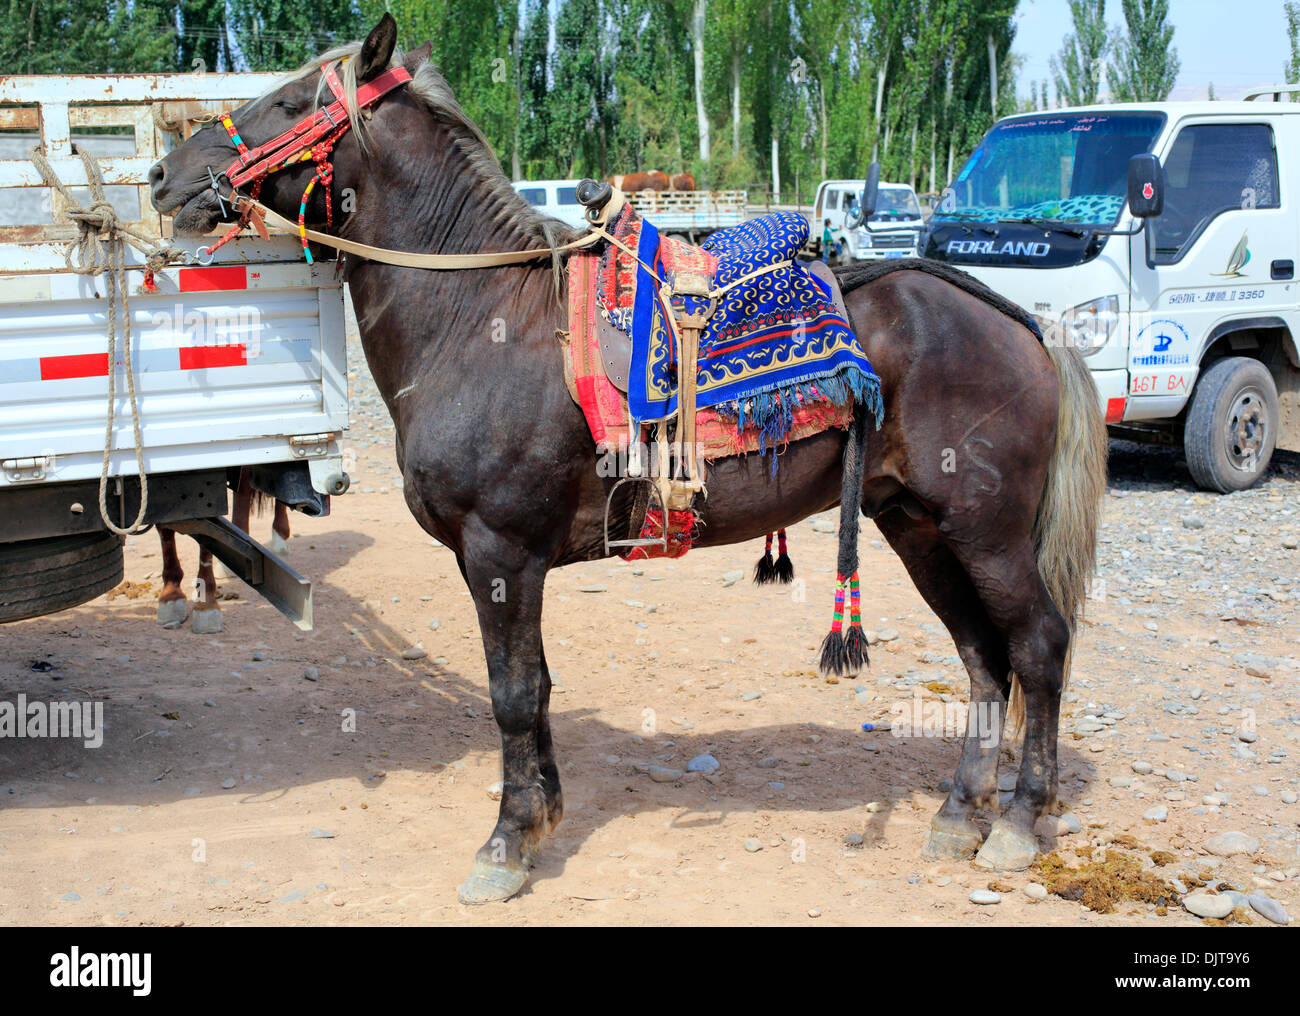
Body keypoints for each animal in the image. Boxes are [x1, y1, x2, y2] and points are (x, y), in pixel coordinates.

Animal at [149, 15, 1107, 909]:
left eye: (291, 100)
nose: (164, 177)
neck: (479, 315)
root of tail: (1024, 322)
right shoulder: (513, 561)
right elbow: (535, 688)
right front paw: (542, 815)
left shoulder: (499, 553)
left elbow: (512, 694)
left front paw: (505, 845)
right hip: (918, 527)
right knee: (984, 659)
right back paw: (959, 816)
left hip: (986, 533)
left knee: (1038, 647)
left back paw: (1018, 823)